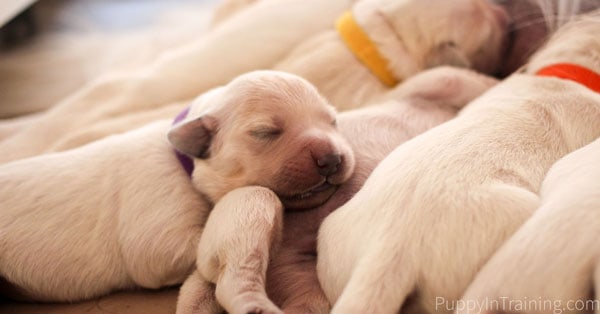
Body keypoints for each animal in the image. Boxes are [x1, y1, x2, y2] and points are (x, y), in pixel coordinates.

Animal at [176, 66, 500, 314]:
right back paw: (254, 305)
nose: (330, 159)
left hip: (295, 270)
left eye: (332, 120)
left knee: (306, 300)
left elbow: (457, 80)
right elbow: (457, 78)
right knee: (233, 277)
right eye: (265, 132)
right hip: (250, 209)